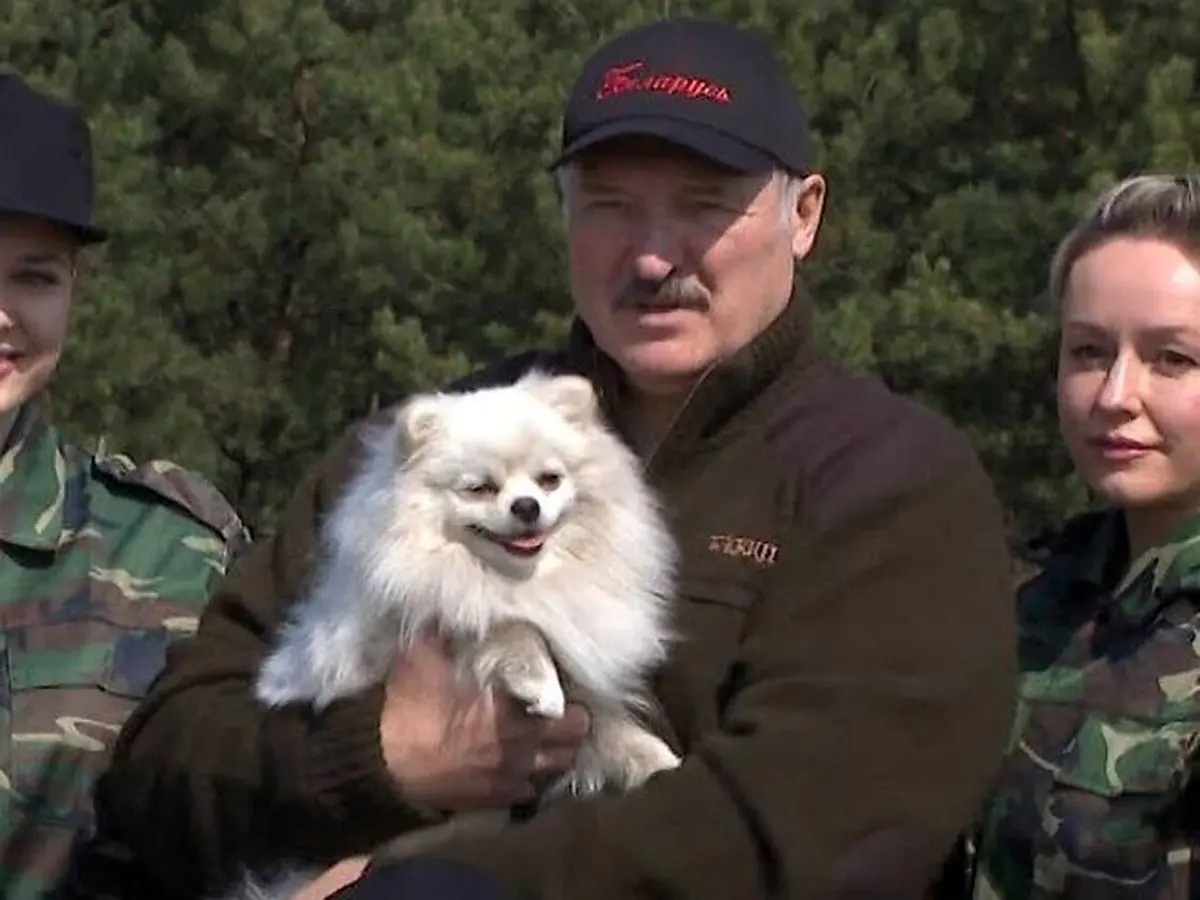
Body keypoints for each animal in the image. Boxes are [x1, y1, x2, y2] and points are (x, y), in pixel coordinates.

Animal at [228, 371, 681, 899]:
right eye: (480, 488)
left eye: (550, 480)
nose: (527, 506)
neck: (514, 579)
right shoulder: (429, 623)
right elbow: (511, 630)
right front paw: (539, 684)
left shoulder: (585, 691)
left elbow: (612, 729)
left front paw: (660, 760)